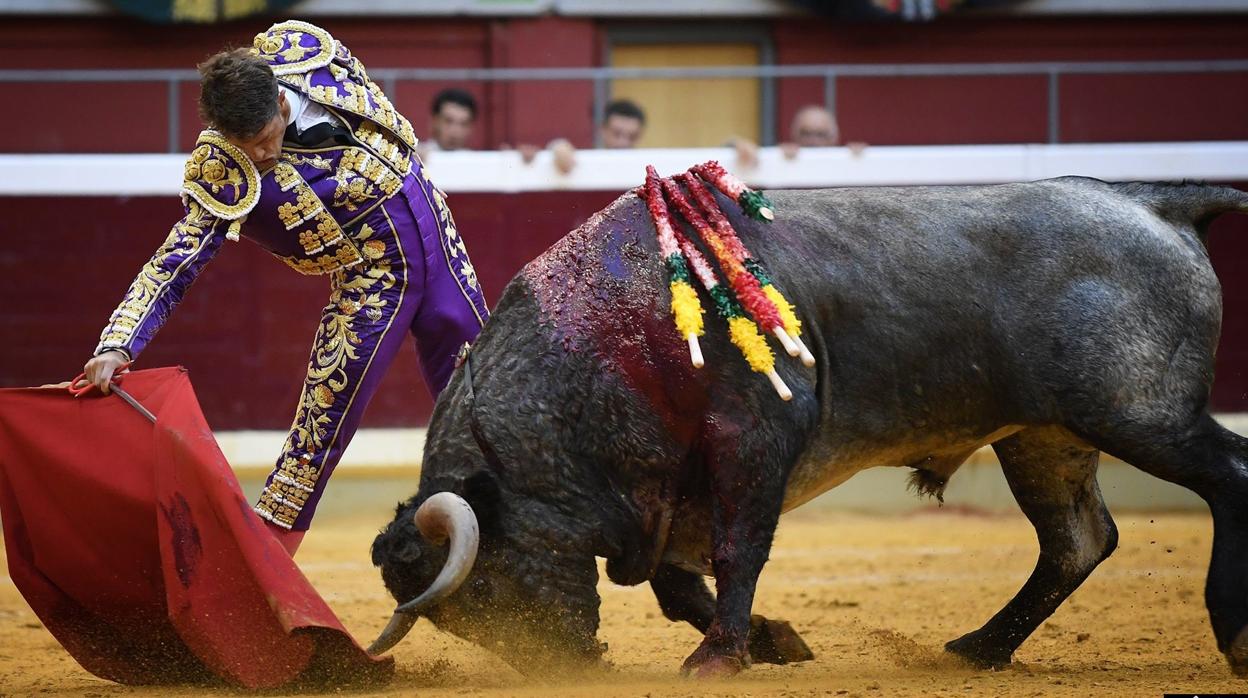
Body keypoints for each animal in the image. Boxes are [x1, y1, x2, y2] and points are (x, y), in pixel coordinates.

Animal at [364, 177, 1248, 679]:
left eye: (487, 586)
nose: (569, 669)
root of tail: (1155, 202)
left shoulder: (752, 440)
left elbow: (735, 552)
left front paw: (720, 658)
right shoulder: (666, 489)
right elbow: (678, 584)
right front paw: (771, 641)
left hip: (1137, 413)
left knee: (1227, 479)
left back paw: (1234, 636)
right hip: (1045, 435)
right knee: (1077, 540)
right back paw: (979, 649)